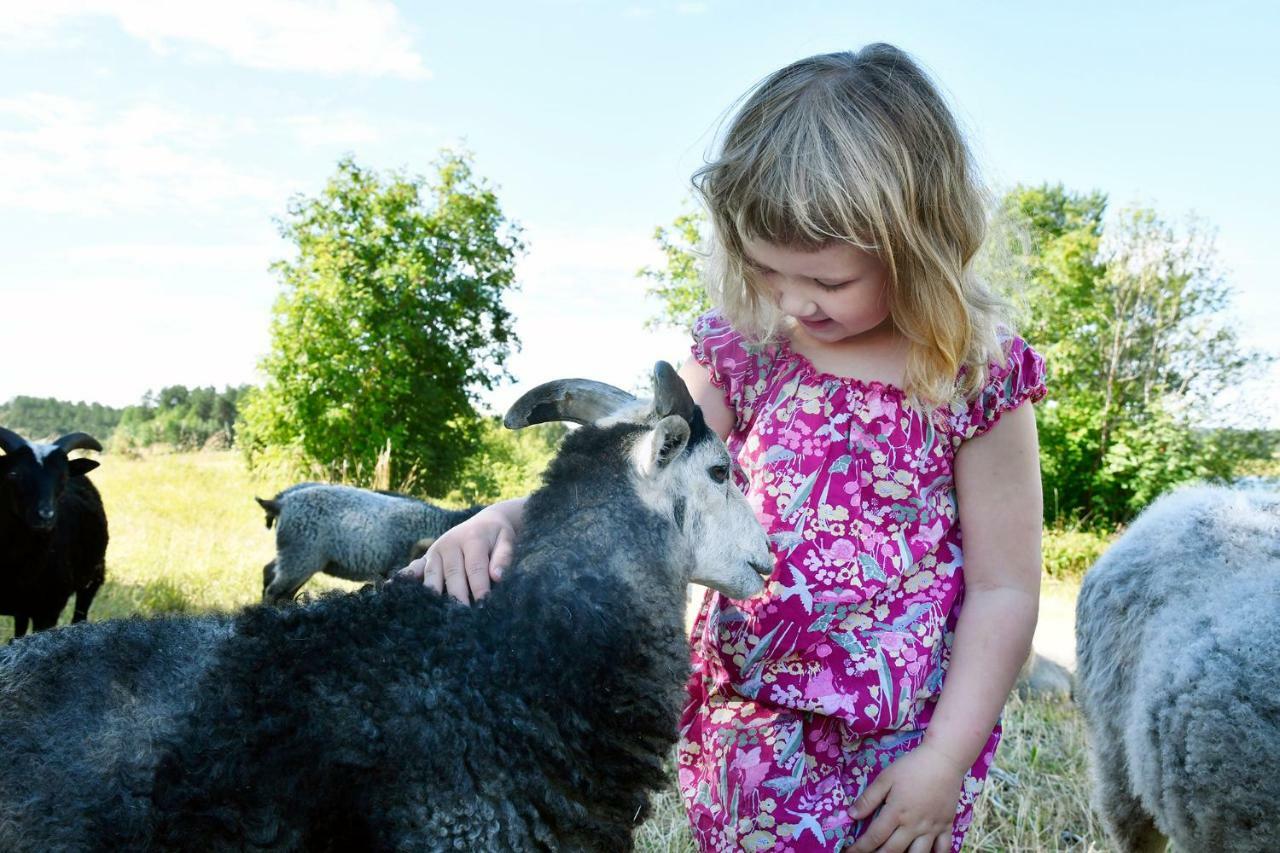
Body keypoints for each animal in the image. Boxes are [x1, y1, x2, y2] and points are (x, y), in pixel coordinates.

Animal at [254, 481, 483, 601]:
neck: (442, 521)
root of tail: (281, 503)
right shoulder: (398, 566)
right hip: (300, 557)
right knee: (274, 589)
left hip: (301, 559)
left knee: (274, 579)